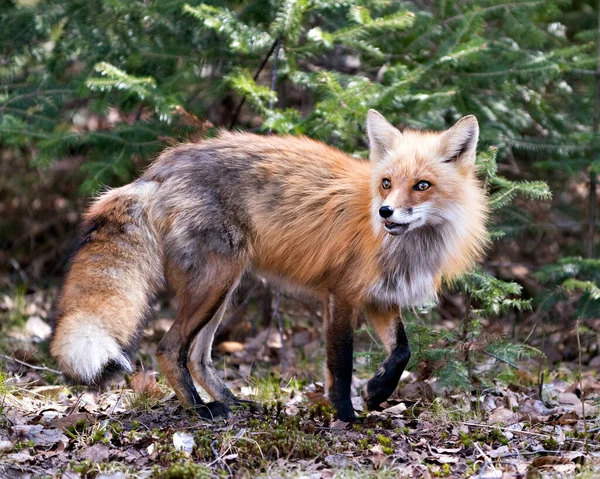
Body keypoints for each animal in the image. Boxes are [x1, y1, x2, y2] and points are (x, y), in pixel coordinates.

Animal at [49, 111, 490, 420]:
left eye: (422, 185)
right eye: (386, 183)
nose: (385, 213)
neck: (405, 247)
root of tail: (161, 168)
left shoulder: (379, 299)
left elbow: (402, 351)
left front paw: (378, 391)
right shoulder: (343, 295)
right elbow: (341, 365)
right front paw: (347, 416)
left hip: (223, 289)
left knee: (197, 357)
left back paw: (233, 403)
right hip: (215, 282)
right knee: (168, 349)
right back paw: (200, 410)